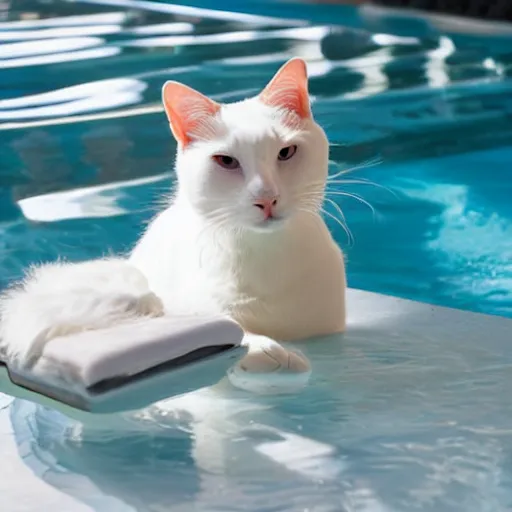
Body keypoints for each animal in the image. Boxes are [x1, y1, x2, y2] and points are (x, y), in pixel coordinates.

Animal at [0, 57, 346, 392]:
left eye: (286, 152)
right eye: (226, 161)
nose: (267, 198)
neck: (267, 255)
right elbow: (230, 331)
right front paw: (267, 351)